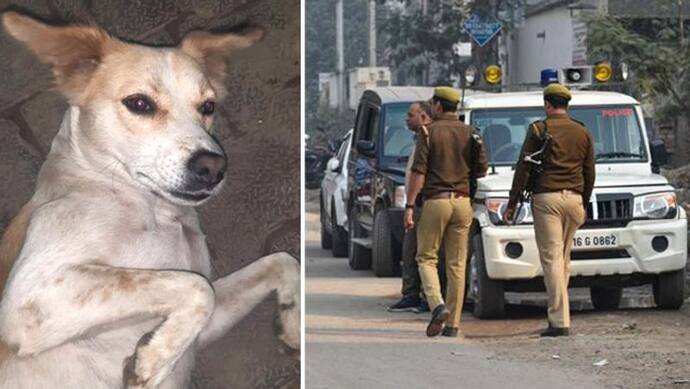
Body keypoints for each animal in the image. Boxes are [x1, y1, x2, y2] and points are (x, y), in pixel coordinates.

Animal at [0, 10, 300, 386]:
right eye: (140, 103)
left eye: (208, 106)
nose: (213, 166)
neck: (155, 209)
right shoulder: (34, 295)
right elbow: (197, 288)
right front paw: (152, 362)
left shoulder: (205, 327)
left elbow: (281, 262)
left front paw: (292, 322)